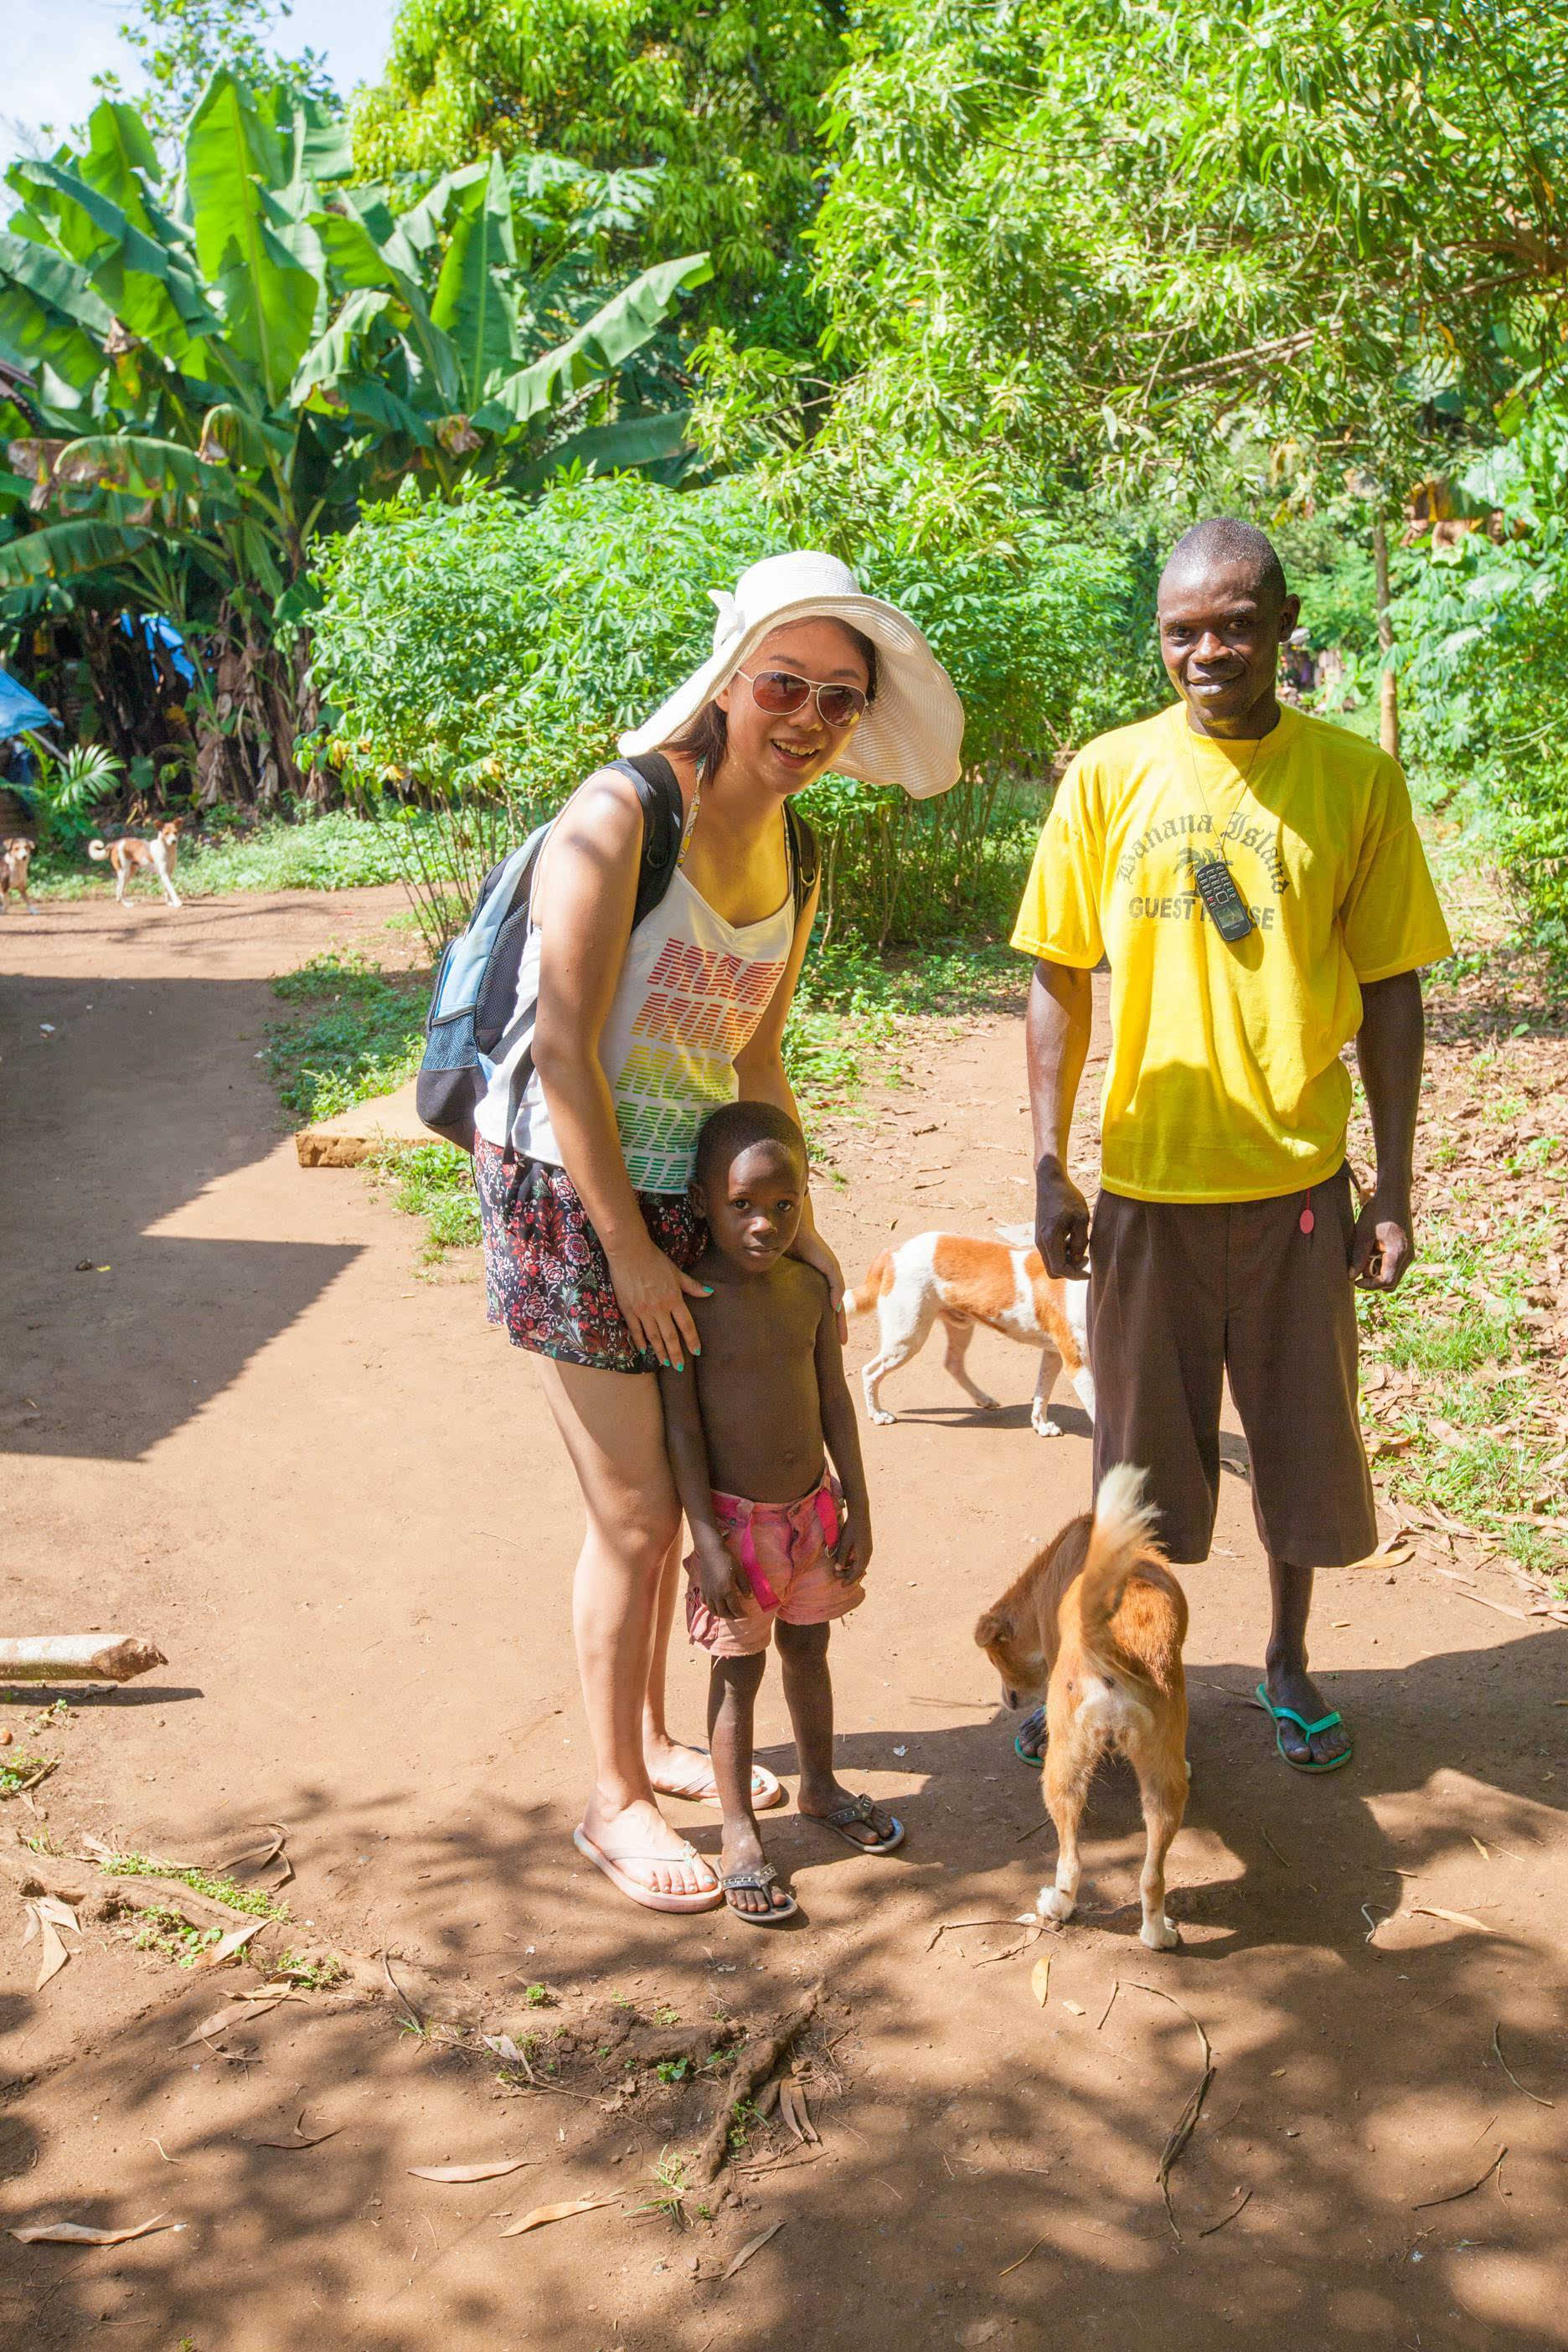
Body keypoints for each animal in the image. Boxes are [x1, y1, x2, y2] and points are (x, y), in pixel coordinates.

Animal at [850, 1232, 1100, 1430]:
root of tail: (893, 1251)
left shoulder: (1055, 1354)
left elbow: (1042, 1391)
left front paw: (1041, 1425)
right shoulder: (1077, 1366)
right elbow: (1096, 1412)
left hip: (959, 1328)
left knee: (952, 1364)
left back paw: (982, 1398)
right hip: (907, 1338)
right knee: (869, 1371)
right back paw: (877, 1414)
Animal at [972, 1467, 1184, 1947]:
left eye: (994, 1660)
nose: (1005, 1700)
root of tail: (1113, 1646)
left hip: (1061, 1770)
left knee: (1070, 1861)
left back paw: (1055, 1906)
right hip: (1160, 1786)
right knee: (1150, 1877)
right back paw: (1157, 1935)